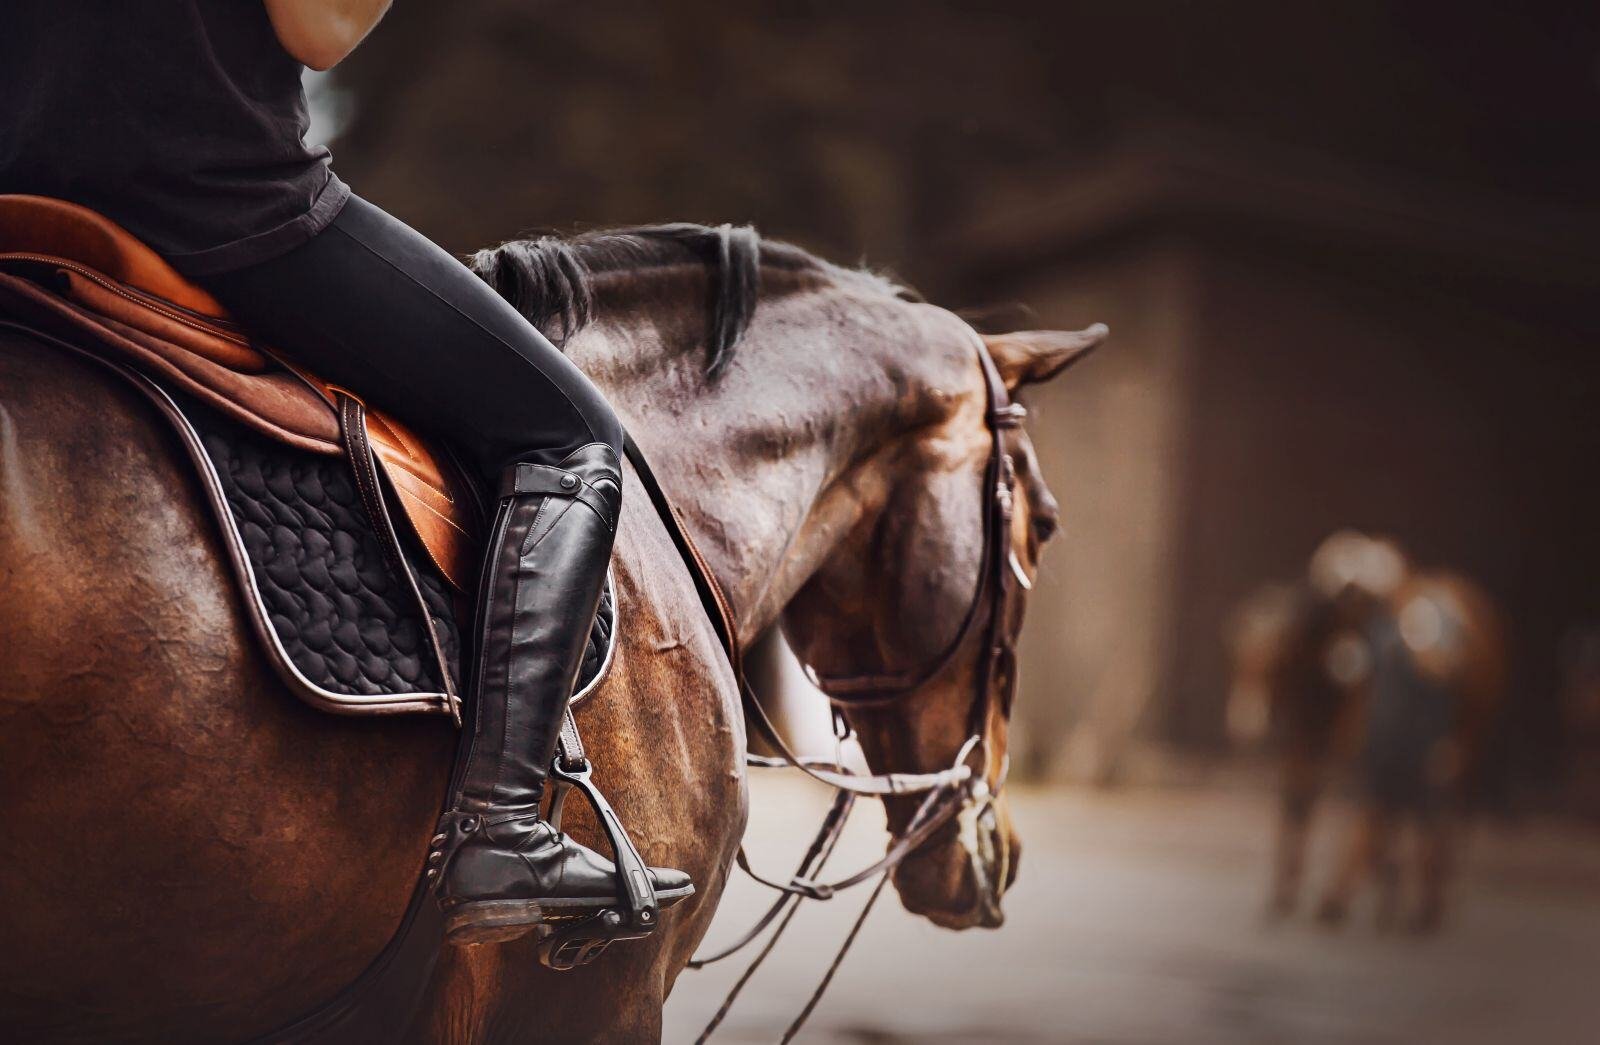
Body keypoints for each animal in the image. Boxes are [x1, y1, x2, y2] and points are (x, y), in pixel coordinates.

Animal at [1228, 531, 1504, 928]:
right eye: (1237, 657)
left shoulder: (1343, 737)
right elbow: (1299, 802)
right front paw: (1286, 893)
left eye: (1274, 660)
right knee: (1419, 800)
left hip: (1466, 736)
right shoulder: (1308, 736)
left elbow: (1344, 804)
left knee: (1434, 801)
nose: (1244, 724)